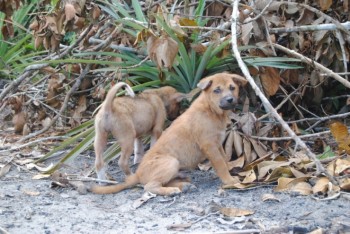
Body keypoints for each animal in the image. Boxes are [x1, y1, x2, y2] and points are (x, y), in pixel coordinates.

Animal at [91, 73, 247, 196]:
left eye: (232, 88)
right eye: (217, 90)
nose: (230, 100)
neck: (211, 110)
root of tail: (138, 175)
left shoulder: (218, 144)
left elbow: (225, 160)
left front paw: (231, 173)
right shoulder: (210, 146)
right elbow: (220, 165)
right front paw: (229, 180)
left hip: (100, 139)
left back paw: (184, 184)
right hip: (170, 161)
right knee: (149, 186)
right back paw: (173, 190)